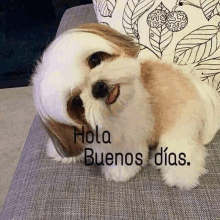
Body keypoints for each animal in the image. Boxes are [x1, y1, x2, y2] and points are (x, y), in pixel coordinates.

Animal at [31, 23, 220, 190]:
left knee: (181, 147)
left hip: (178, 123)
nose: (98, 87)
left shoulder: (132, 133)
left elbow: (126, 153)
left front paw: (119, 170)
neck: (114, 115)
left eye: (95, 59)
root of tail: (194, 83)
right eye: (76, 102)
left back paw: (182, 176)